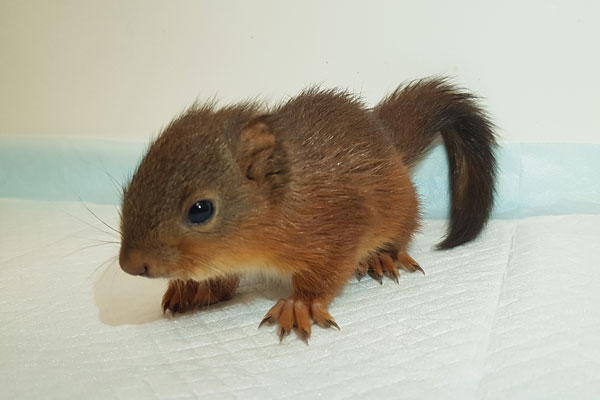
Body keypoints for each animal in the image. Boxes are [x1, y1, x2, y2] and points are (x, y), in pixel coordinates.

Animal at [118, 77, 496, 340]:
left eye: (200, 210)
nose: (129, 265)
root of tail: (387, 137)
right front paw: (194, 288)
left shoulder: (338, 226)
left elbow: (326, 273)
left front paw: (301, 304)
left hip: (398, 207)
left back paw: (381, 256)